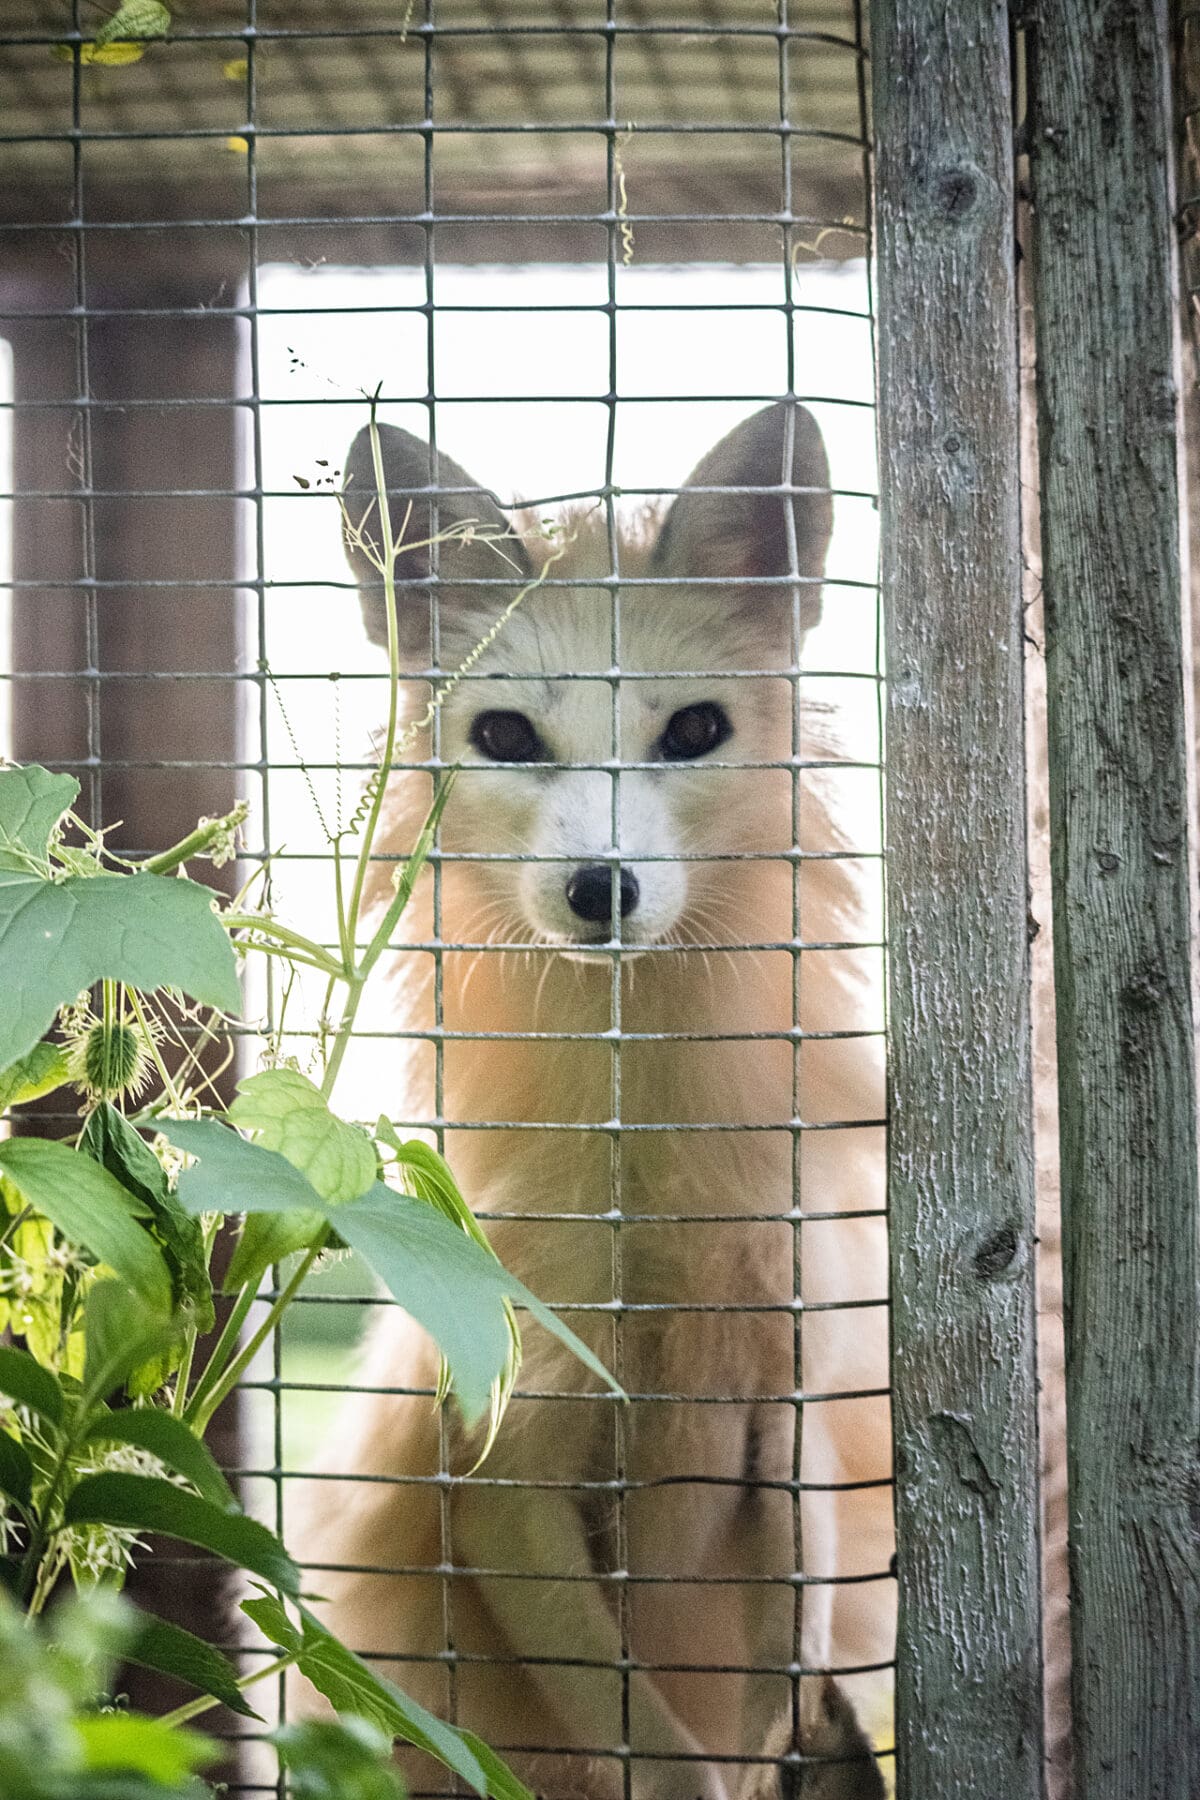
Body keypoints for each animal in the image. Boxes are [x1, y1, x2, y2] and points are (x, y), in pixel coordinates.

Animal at [287, 405, 892, 1800]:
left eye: (693, 732)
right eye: (508, 738)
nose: (599, 887)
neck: (642, 1187)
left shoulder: (784, 1421)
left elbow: (785, 1672)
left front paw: (791, 1751)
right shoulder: (499, 1464)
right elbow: (656, 1753)